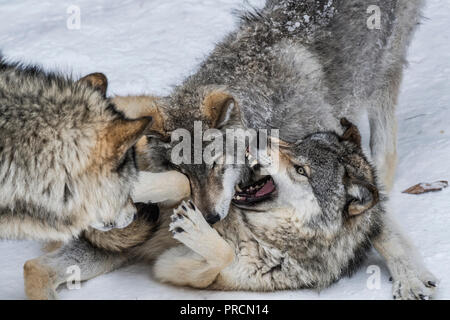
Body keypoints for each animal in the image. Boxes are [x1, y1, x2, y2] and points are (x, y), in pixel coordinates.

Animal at [23, 120, 436, 300]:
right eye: (293, 144)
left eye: (301, 170)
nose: (256, 137)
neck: (255, 231)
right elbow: (179, 183)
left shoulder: (178, 269)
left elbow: (218, 255)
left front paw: (196, 229)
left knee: (34, 268)